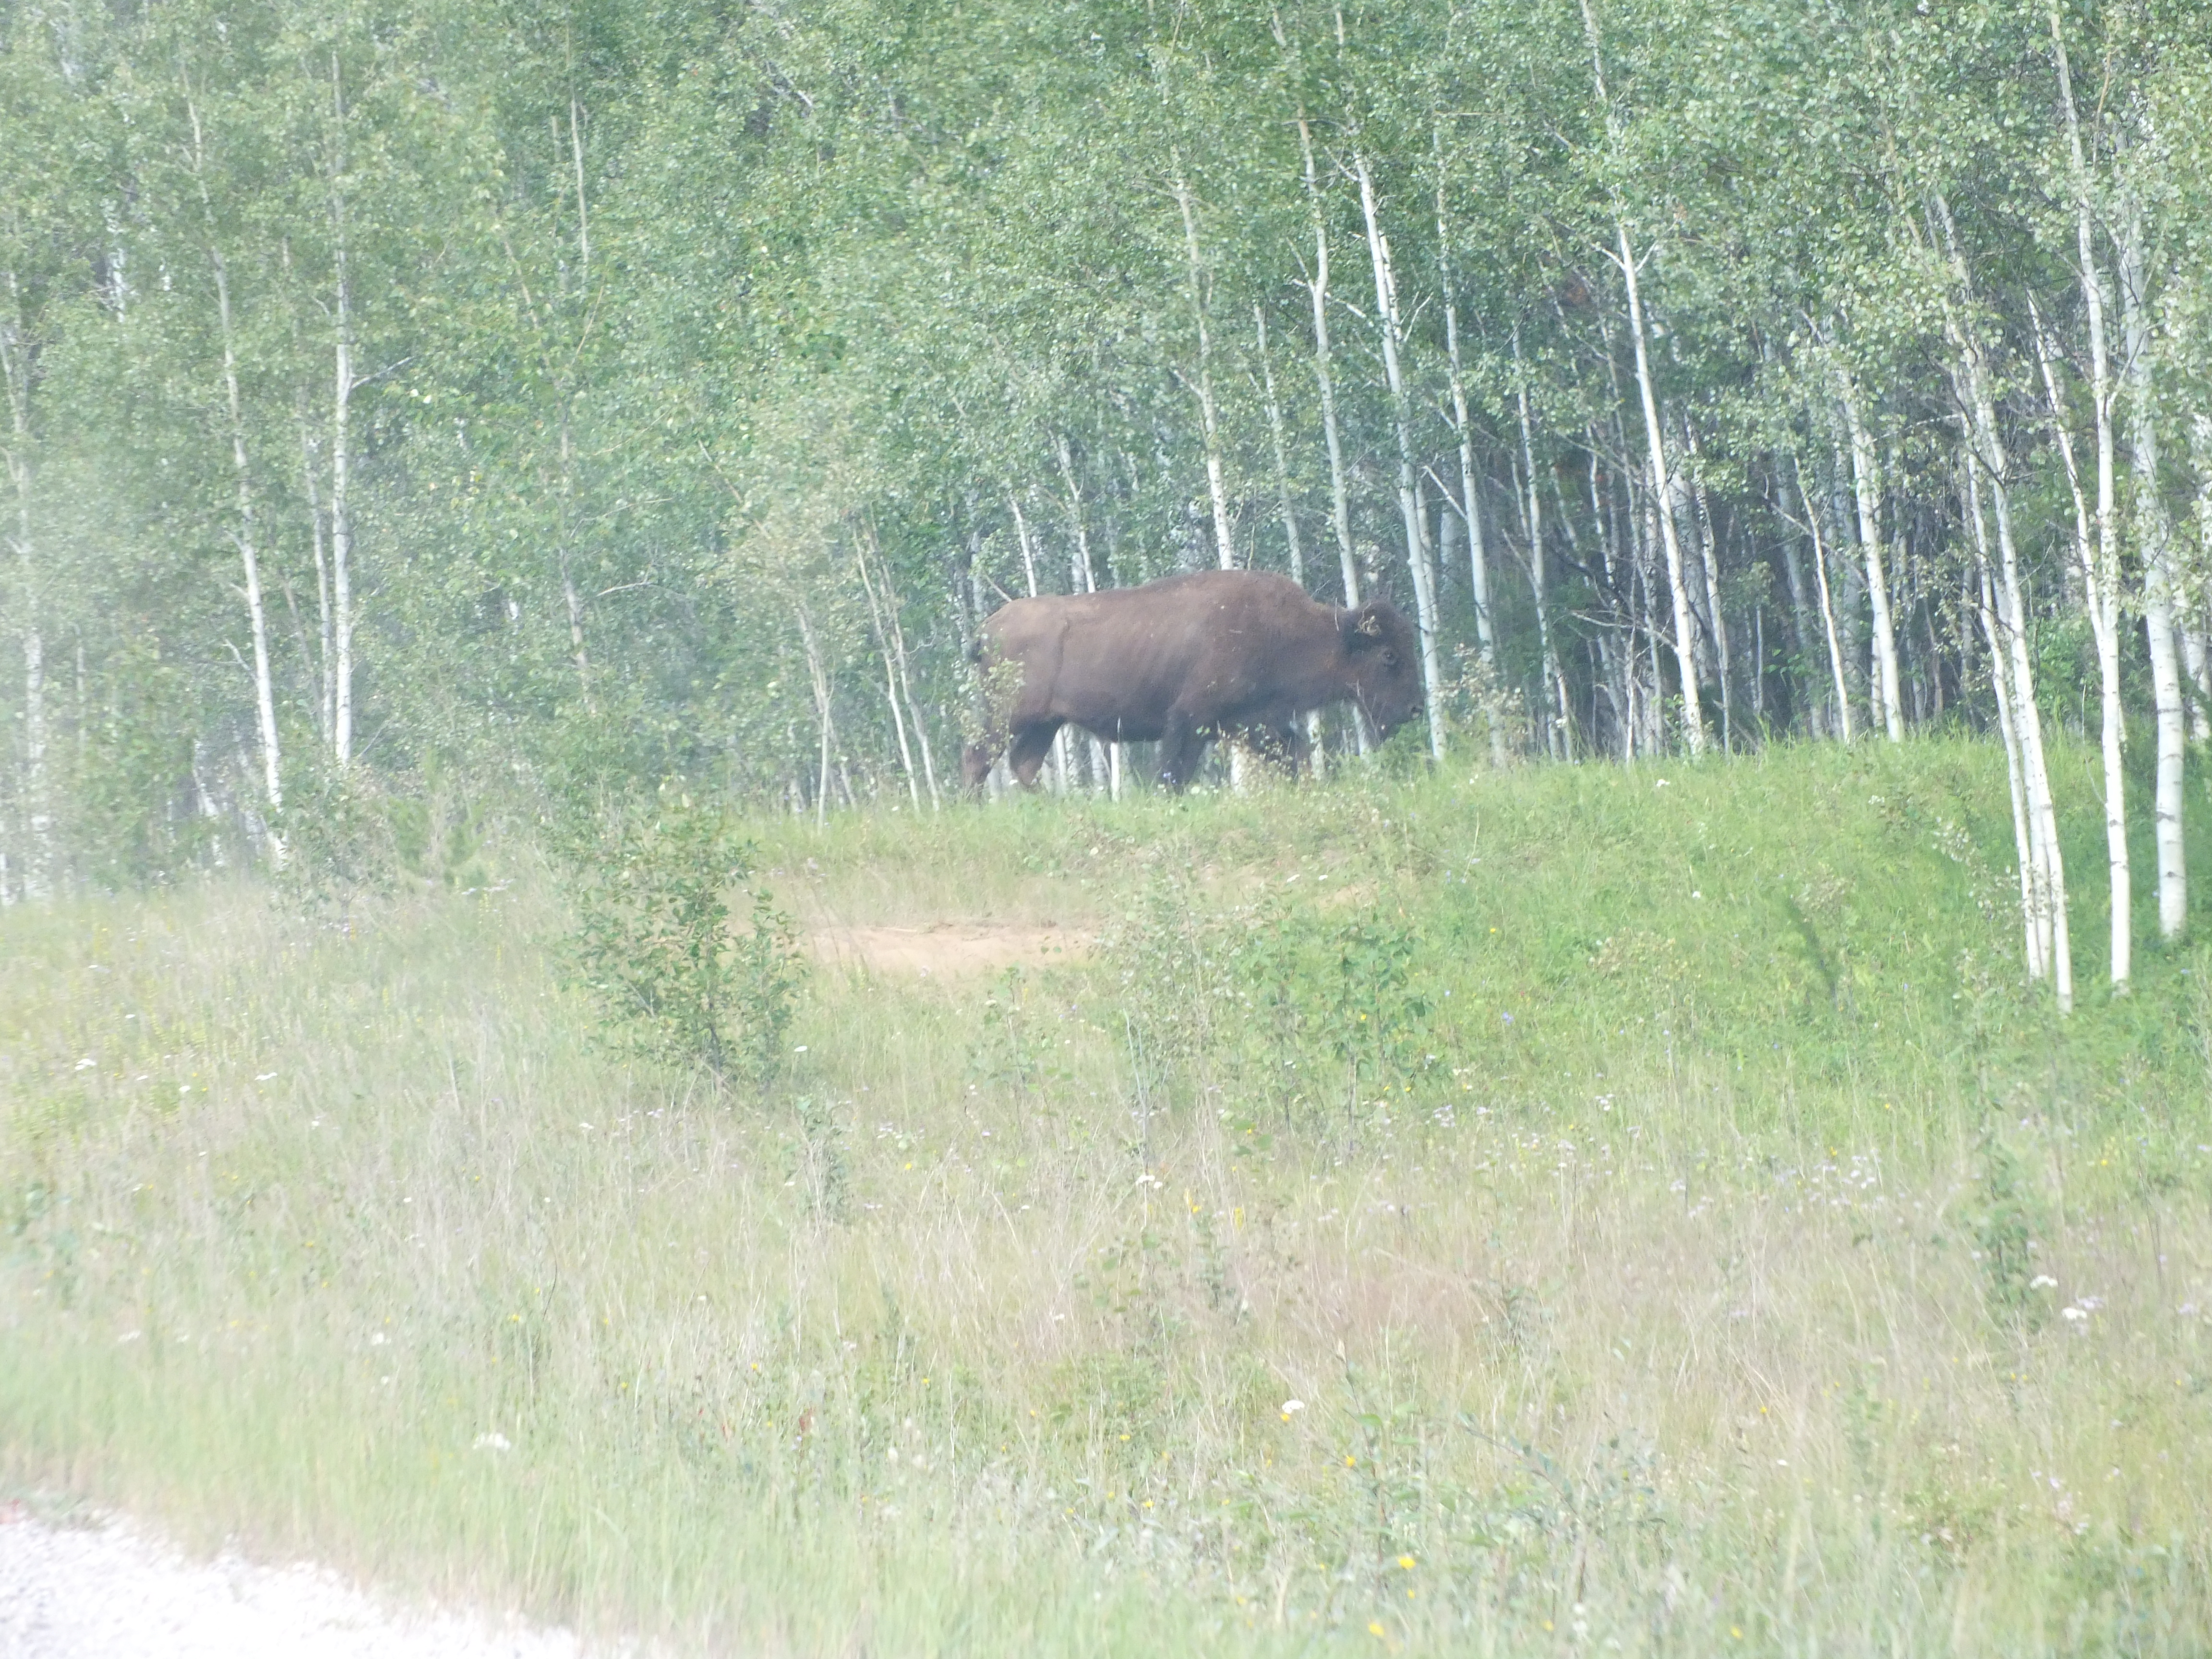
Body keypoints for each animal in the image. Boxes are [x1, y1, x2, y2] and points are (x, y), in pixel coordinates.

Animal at [962, 569, 1424, 791]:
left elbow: (1296, 754)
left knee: (1022, 765)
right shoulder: (1188, 719)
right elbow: (1173, 773)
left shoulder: (1251, 724)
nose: (1416, 708)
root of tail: (987, 628)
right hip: (1008, 716)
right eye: (1389, 656)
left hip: (1045, 724)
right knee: (978, 758)